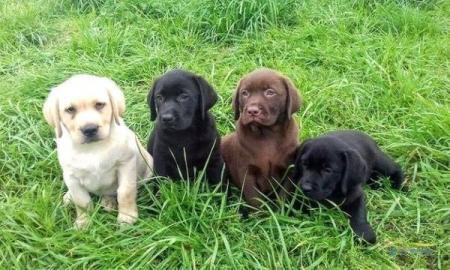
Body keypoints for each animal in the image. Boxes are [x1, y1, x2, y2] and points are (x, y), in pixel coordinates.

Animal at [44, 75, 153, 229]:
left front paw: (127, 217)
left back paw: (108, 202)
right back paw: (70, 197)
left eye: (100, 105)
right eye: (70, 109)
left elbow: (125, 191)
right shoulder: (71, 176)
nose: (89, 129)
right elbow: (81, 201)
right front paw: (83, 222)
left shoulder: (126, 164)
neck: (92, 148)